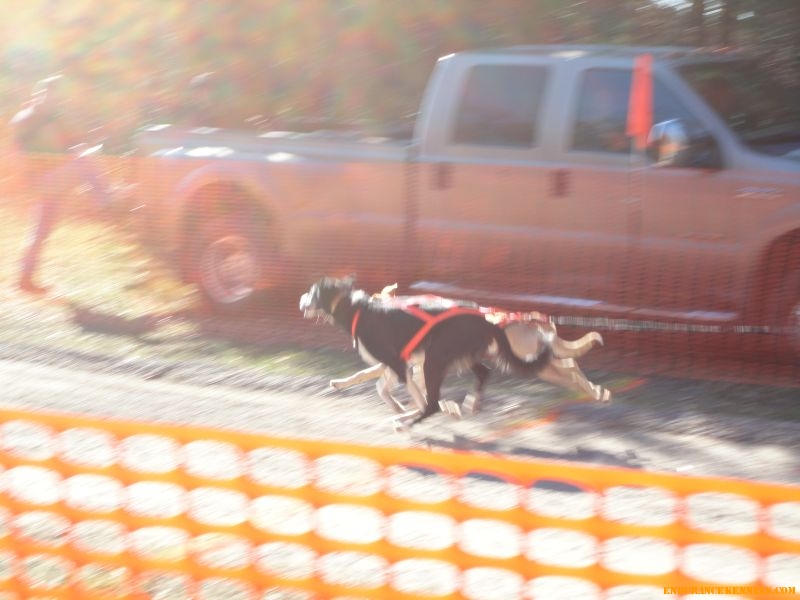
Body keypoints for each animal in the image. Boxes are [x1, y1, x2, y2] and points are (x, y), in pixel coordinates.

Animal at [300, 277, 609, 429]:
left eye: (312, 292)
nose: (301, 299)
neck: (360, 310)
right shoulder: (401, 366)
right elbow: (385, 386)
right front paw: (406, 408)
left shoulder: (399, 364)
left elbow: (387, 385)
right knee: (566, 364)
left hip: (507, 359)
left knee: (568, 368)